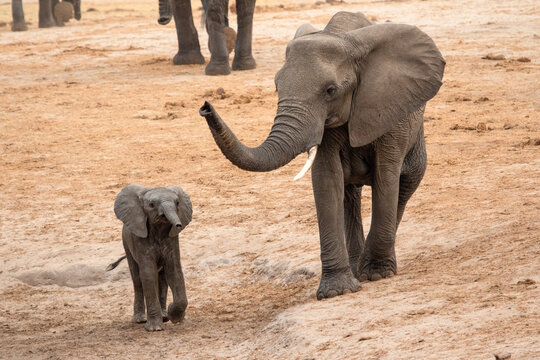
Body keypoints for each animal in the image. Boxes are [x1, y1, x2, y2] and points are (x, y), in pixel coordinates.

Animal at [112, 186, 192, 332]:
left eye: (177, 203)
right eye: (151, 205)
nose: (178, 225)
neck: (159, 228)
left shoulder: (172, 239)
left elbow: (174, 272)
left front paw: (175, 317)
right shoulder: (140, 241)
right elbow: (148, 274)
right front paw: (155, 328)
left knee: (162, 279)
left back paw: (164, 316)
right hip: (126, 242)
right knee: (137, 280)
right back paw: (140, 320)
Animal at [200, 11, 446, 298]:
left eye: (330, 91)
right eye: (276, 87)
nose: (205, 106)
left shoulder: (387, 110)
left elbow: (386, 177)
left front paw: (376, 274)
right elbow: (327, 180)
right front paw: (337, 291)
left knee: (405, 184)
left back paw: (369, 265)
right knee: (349, 196)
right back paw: (355, 266)